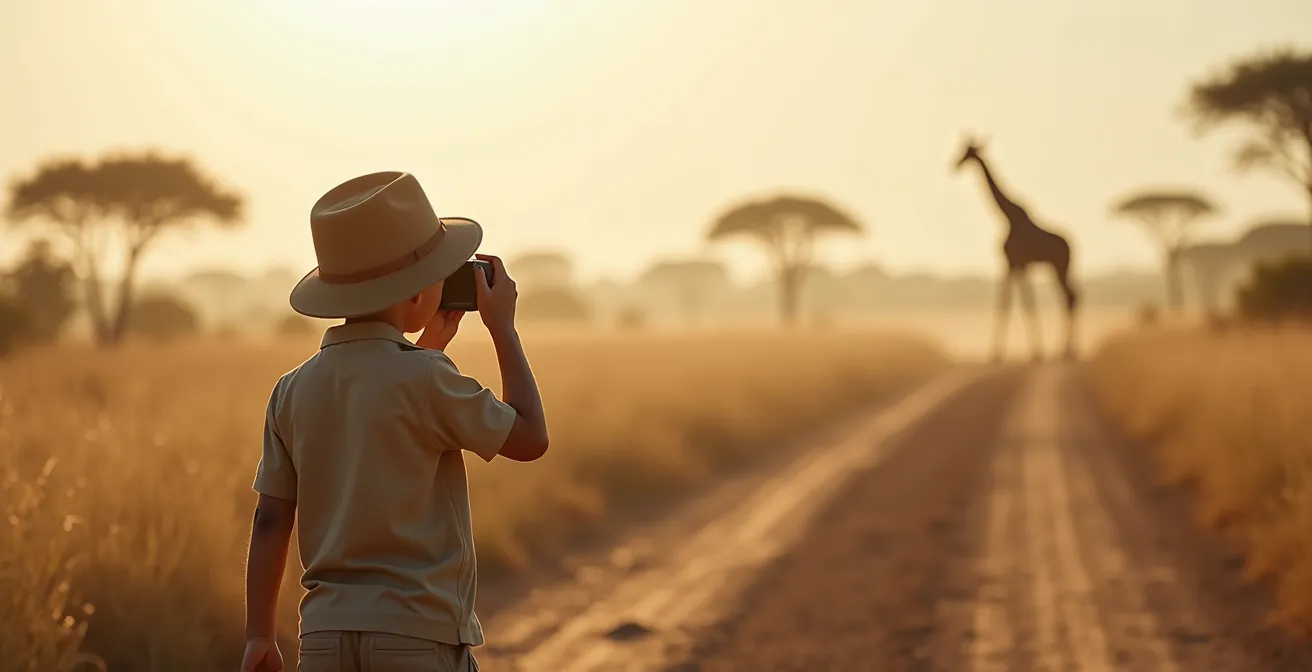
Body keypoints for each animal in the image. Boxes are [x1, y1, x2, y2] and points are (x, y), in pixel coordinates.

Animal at [953, 136, 1079, 362]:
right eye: (963, 149)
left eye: (969, 151)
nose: (955, 164)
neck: (1006, 216)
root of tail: (1072, 246)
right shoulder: (1013, 264)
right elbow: (1011, 303)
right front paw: (1002, 353)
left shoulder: (1014, 262)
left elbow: (1019, 304)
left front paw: (1031, 353)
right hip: (1058, 268)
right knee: (1072, 297)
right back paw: (1066, 350)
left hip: (1059, 267)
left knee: (1070, 297)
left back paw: (1065, 351)